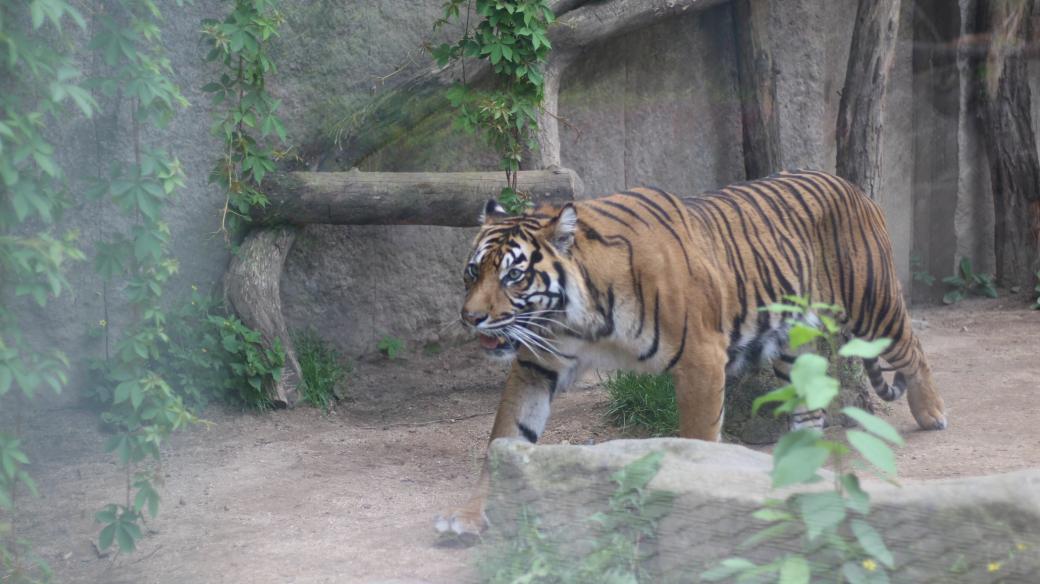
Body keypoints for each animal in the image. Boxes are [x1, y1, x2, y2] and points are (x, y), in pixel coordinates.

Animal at [434, 166, 948, 536]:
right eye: (472, 272)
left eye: (513, 276)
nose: (470, 318)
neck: (577, 317)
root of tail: (850, 184)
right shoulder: (537, 364)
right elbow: (505, 437)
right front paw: (470, 515)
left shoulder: (701, 357)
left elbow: (698, 440)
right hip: (790, 343)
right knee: (809, 407)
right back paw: (798, 455)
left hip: (872, 303)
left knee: (913, 347)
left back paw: (931, 413)